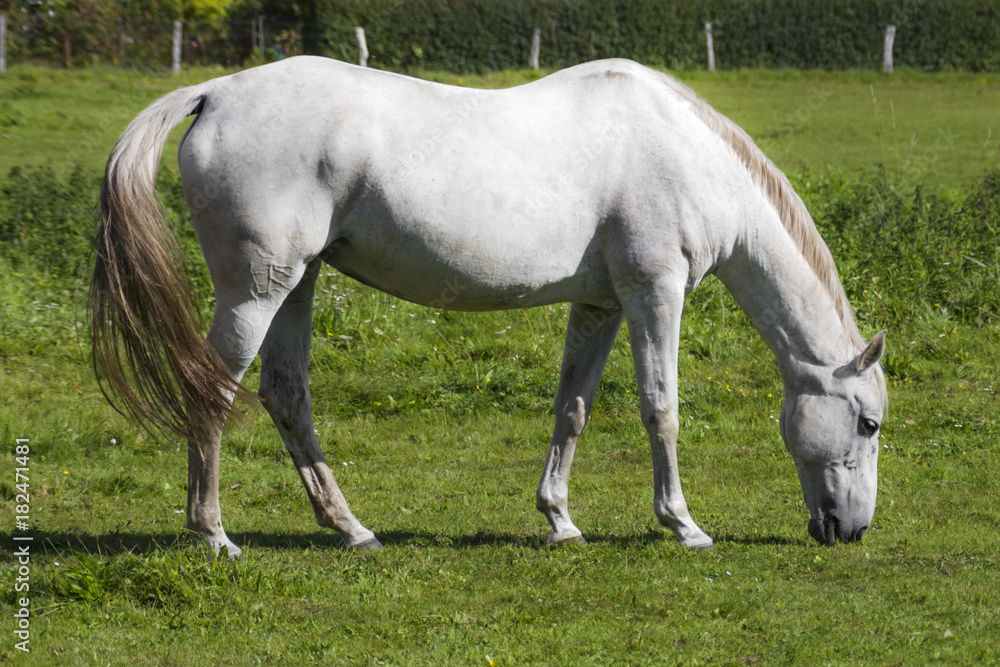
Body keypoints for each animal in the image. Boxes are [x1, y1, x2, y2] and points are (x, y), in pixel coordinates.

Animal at [94, 57, 888, 560]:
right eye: (868, 423)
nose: (851, 530)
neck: (686, 155)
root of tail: (218, 92)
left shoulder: (599, 305)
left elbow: (573, 408)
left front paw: (560, 521)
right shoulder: (652, 293)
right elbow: (660, 407)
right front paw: (683, 525)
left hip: (298, 283)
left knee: (287, 397)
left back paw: (352, 530)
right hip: (257, 292)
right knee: (213, 392)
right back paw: (215, 536)